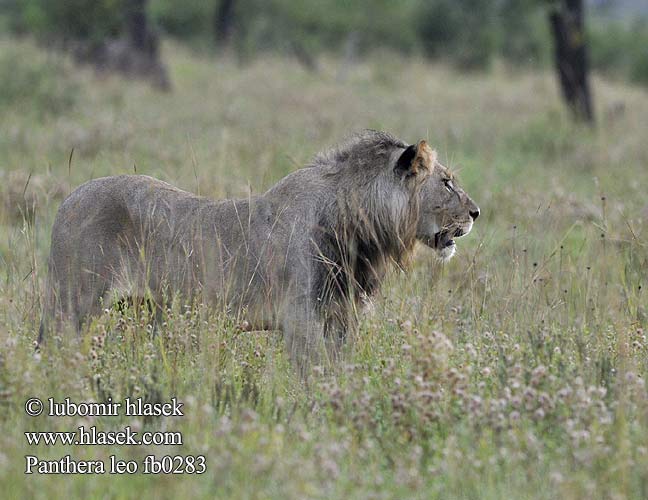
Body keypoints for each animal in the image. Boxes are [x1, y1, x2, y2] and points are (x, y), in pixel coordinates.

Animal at [39, 131, 476, 374]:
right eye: (447, 183)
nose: (476, 213)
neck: (362, 228)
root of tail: (65, 203)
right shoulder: (302, 316)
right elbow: (315, 375)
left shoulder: (341, 316)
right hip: (75, 304)